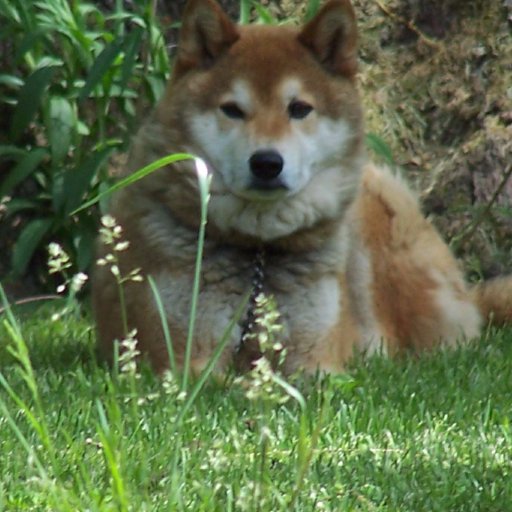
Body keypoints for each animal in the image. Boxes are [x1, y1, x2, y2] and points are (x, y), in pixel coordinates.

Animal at [93, 0, 512, 376]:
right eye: (232, 110)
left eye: (298, 109)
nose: (266, 162)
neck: (258, 257)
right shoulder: (182, 357)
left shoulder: (315, 355)